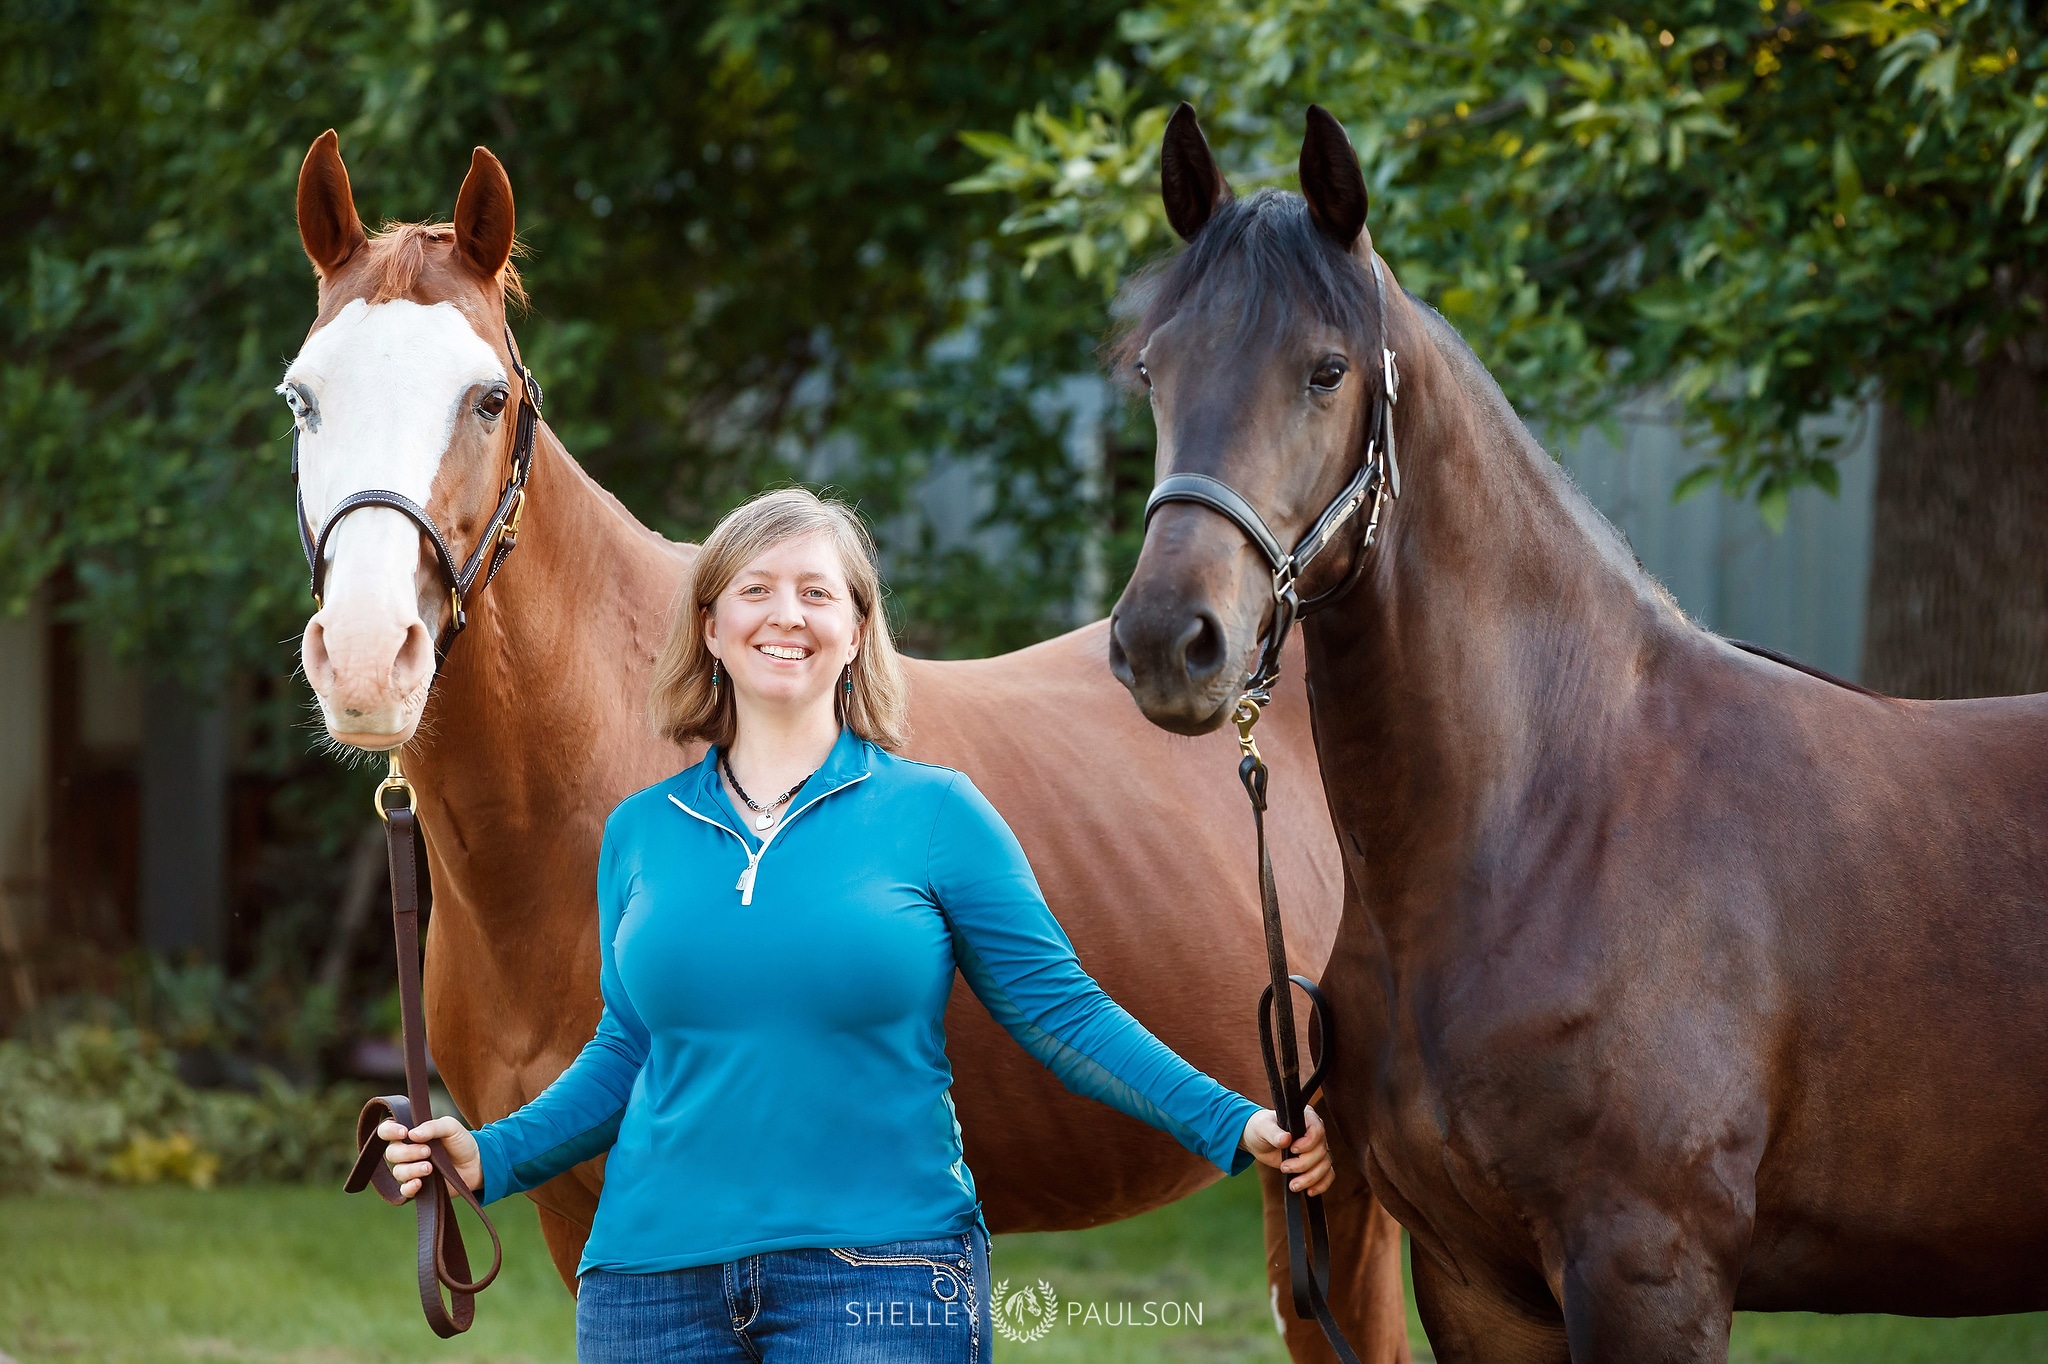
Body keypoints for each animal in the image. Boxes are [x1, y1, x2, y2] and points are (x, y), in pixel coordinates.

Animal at [1114, 106, 2048, 1359]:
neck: (1557, 820)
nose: (1169, 640)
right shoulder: (1475, 1281)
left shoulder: (1647, 1267)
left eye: (1325, 370)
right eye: (1152, 371)